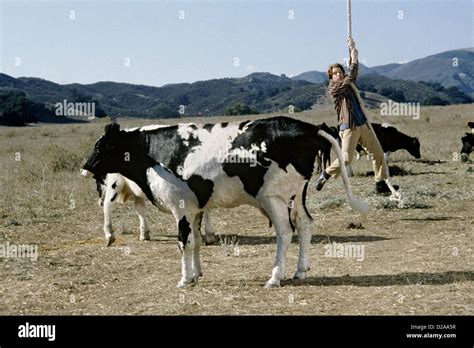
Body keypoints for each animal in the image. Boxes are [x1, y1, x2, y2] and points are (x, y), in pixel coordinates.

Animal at [81, 115, 366, 286]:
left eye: (101, 147)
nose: (85, 168)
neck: (156, 152)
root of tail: (310, 128)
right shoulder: (196, 208)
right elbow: (196, 242)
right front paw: (197, 273)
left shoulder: (181, 209)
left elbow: (184, 242)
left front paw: (184, 279)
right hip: (296, 196)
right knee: (305, 225)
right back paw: (299, 270)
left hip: (274, 198)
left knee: (285, 232)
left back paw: (275, 276)